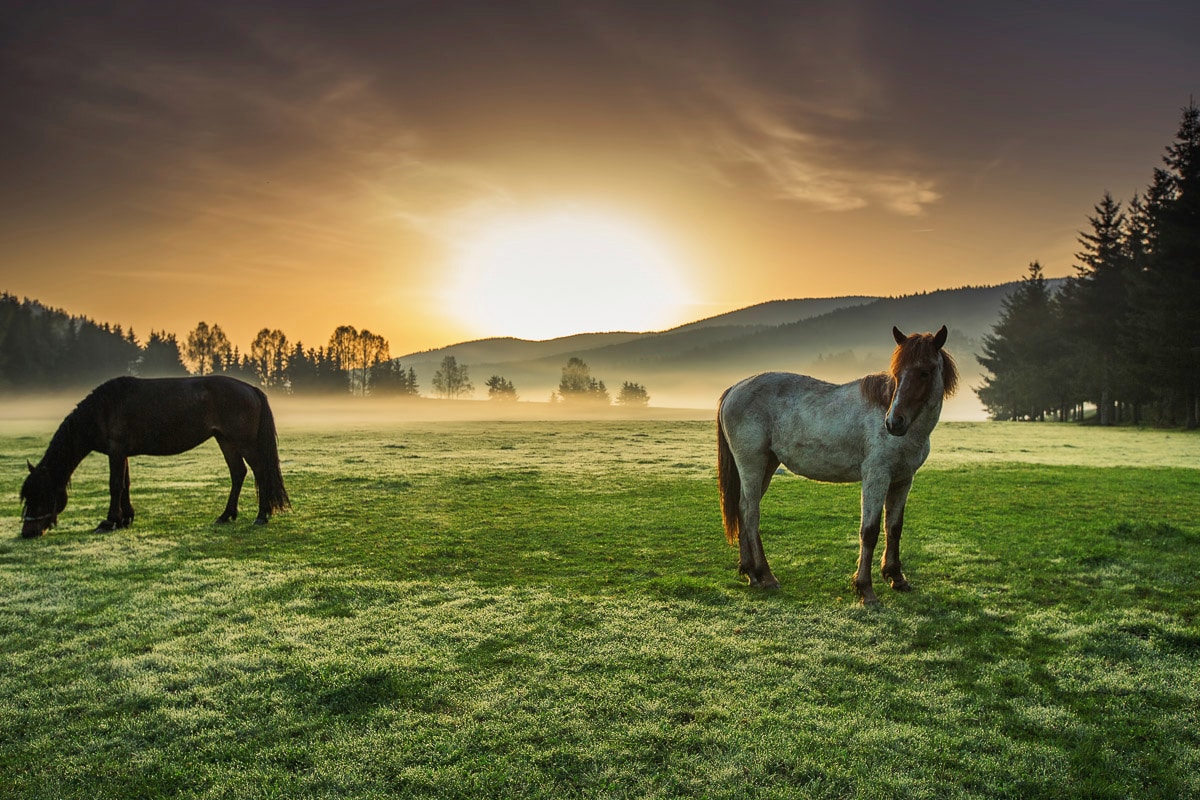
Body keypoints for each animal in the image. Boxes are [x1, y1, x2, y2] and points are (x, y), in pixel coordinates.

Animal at [20, 376, 290, 537]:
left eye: (41, 496)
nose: (28, 532)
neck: (104, 409)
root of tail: (250, 388)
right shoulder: (121, 453)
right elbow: (125, 484)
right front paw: (125, 518)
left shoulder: (116, 451)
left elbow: (115, 485)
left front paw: (109, 522)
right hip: (225, 440)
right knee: (238, 473)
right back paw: (226, 515)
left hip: (242, 442)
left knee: (260, 472)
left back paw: (262, 515)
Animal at [715, 323, 960, 599]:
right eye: (897, 373)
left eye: (925, 372)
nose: (894, 422)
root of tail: (735, 388)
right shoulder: (876, 477)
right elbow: (870, 531)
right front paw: (865, 588)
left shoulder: (902, 480)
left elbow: (894, 528)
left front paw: (896, 577)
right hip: (752, 465)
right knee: (751, 513)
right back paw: (766, 575)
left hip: (766, 465)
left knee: (743, 507)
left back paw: (750, 572)